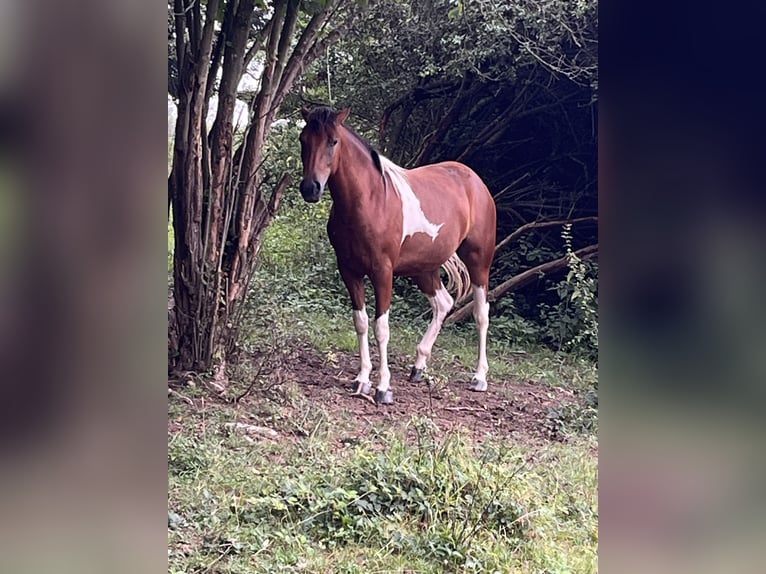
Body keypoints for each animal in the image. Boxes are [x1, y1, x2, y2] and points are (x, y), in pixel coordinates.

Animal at [296, 107, 496, 404]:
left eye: (333, 141)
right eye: (303, 140)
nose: (311, 188)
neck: (370, 200)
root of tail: (474, 180)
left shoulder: (382, 272)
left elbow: (381, 328)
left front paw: (383, 388)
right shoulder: (349, 271)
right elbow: (361, 323)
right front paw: (362, 380)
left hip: (478, 260)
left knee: (481, 313)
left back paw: (479, 377)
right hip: (424, 267)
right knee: (443, 303)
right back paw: (419, 367)